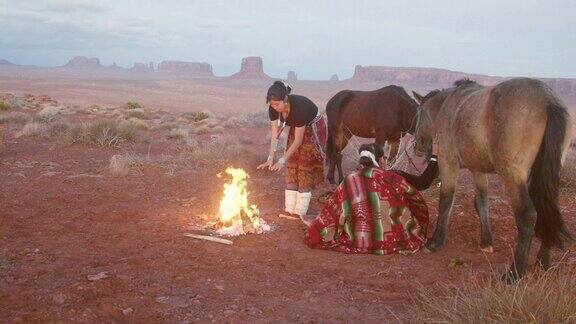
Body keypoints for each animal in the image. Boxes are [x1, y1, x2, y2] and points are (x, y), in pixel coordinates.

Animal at [414, 77, 572, 280]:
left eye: (418, 114)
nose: (417, 145)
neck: (448, 105)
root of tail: (548, 100)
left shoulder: (447, 162)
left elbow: (446, 201)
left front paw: (435, 242)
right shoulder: (478, 170)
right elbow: (481, 203)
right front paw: (486, 241)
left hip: (512, 175)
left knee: (527, 215)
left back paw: (514, 273)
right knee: (545, 209)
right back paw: (543, 261)